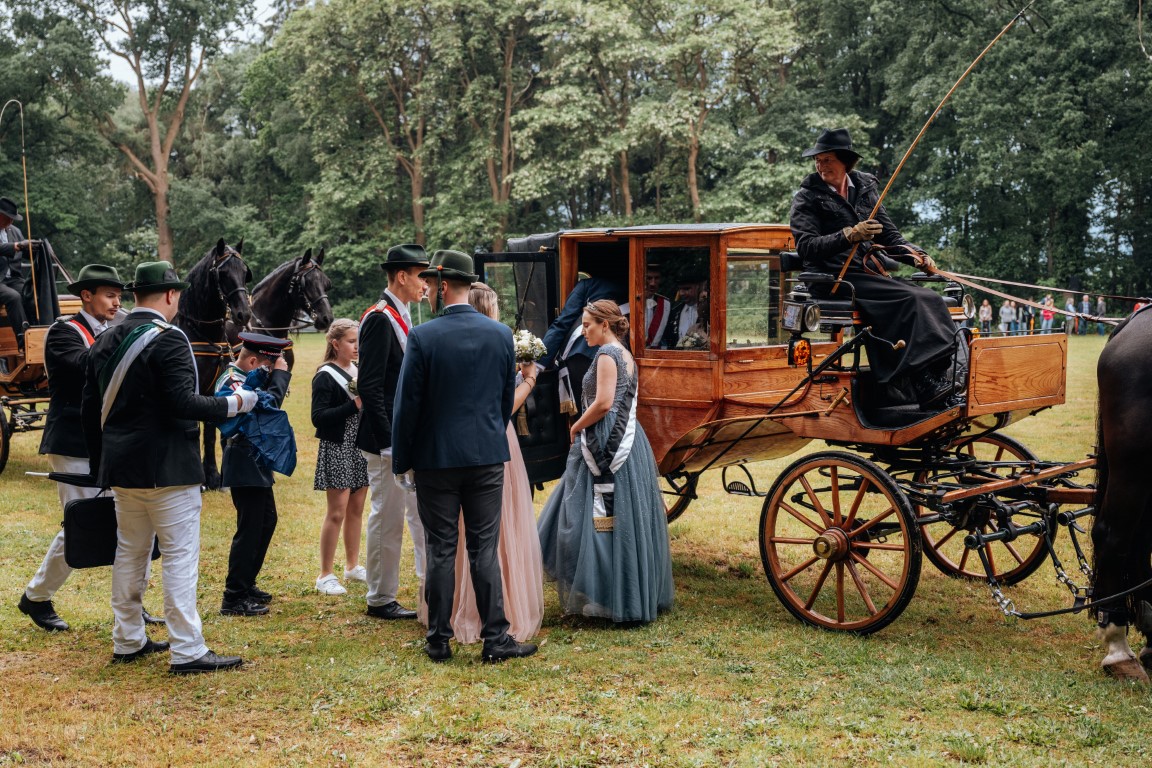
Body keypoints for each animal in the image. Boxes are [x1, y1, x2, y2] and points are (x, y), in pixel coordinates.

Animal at [175, 238, 253, 491]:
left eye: (244, 272)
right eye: (224, 273)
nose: (243, 314)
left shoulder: (212, 389)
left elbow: (209, 432)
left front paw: (213, 477)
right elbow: (197, 428)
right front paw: (201, 478)